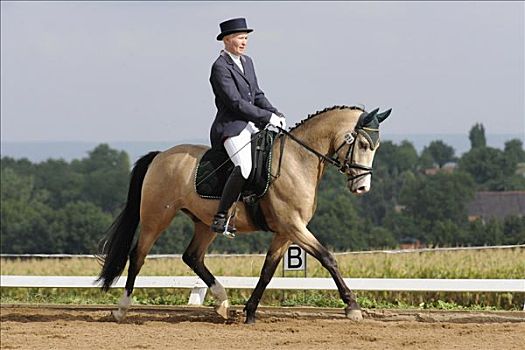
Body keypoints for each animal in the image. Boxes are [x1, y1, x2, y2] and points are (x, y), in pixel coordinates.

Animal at [97, 105, 388, 324]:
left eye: (376, 146)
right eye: (363, 144)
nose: (362, 187)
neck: (298, 160)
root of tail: (160, 156)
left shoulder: (285, 232)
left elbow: (267, 271)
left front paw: (249, 312)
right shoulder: (294, 227)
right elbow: (328, 258)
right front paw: (352, 307)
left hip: (205, 223)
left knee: (192, 256)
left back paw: (223, 303)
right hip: (156, 218)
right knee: (138, 256)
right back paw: (122, 309)